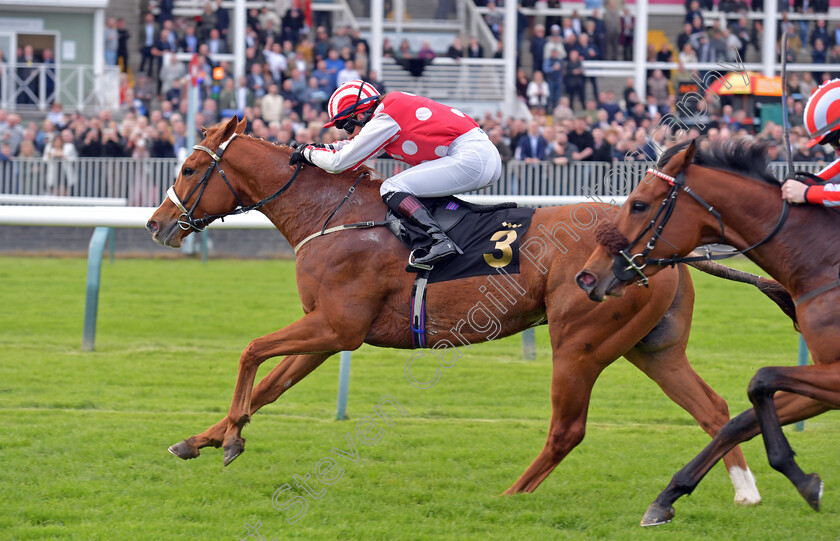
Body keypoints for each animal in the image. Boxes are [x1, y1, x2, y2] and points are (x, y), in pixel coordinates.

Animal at [146, 117, 788, 502]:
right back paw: (742, 491)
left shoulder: (336, 325)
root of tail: (663, 251)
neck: (335, 215)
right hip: (650, 346)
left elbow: (250, 352)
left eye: (190, 168)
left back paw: (511, 499)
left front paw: (230, 439)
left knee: (569, 428)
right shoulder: (327, 334)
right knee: (712, 408)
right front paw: (202, 439)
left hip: (580, 340)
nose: (155, 223)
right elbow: (269, 385)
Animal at [576, 138, 840, 524]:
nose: (588, 275)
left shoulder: (834, 375)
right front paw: (667, 496)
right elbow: (739, 421)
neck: (825, 263)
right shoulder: (825, 379)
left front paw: (801, 477)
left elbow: (760, 379)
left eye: (638, 204)